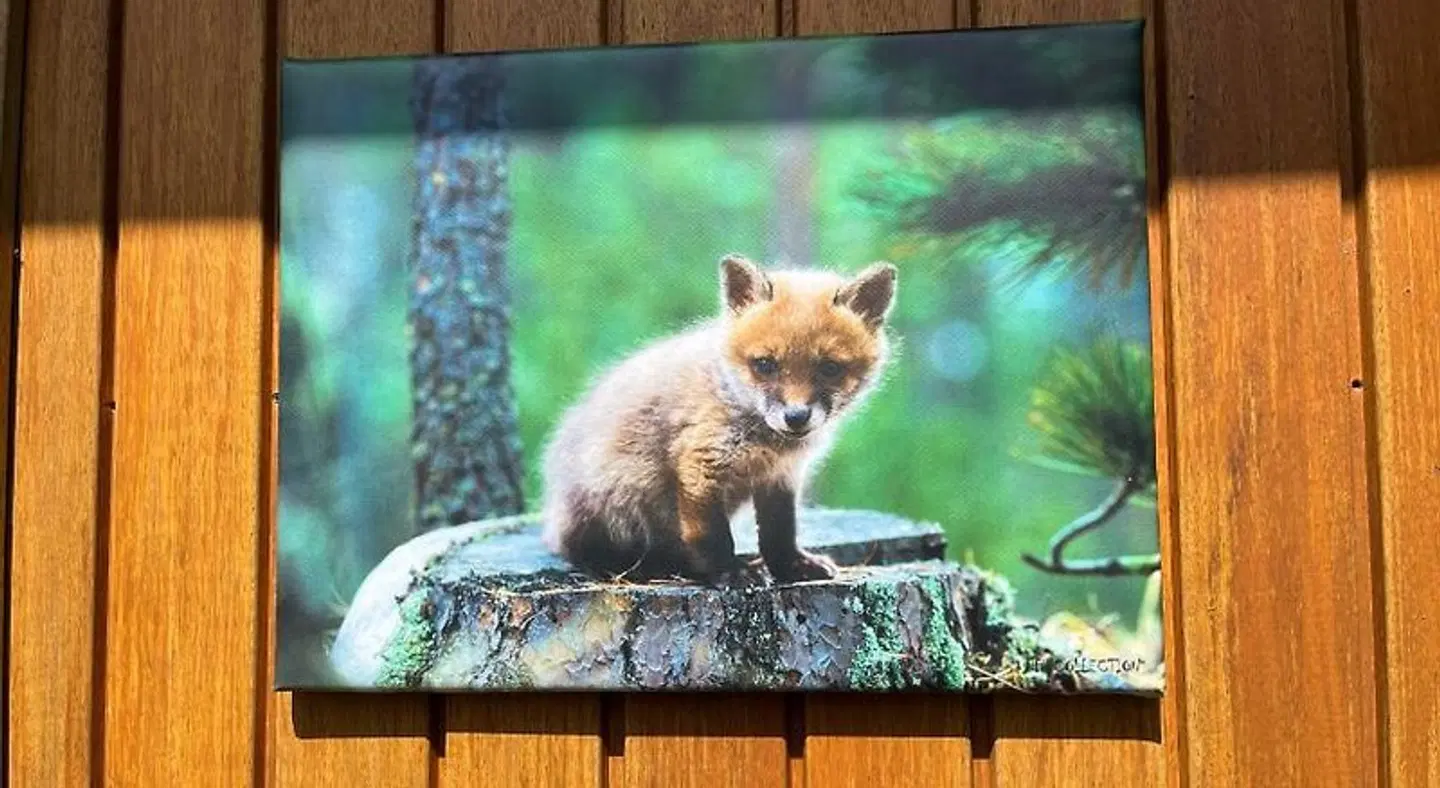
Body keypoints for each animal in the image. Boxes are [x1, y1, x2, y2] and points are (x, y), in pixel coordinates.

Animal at [539, 253, 898, 585]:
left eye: (829, 368)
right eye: (765, 364)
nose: (796, 417)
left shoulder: (779, 475)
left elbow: (779, 533)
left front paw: (790, 566)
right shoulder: (702, 461)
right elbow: (713, 535)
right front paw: (729, 572)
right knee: (591, 554)